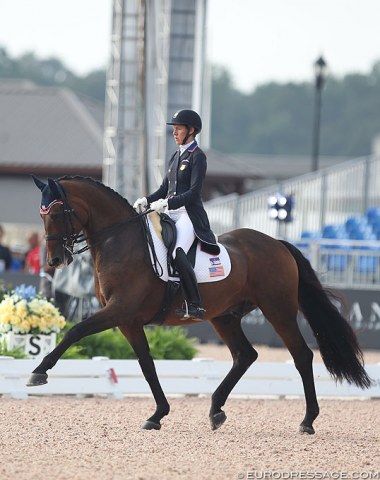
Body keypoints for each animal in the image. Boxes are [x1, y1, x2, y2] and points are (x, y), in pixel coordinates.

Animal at [29, 176, 372, 436]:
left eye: (56, 213)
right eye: (41, 214)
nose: (55, 261)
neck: (120, 242)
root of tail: (278, 243)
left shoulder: (119, 311)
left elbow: (75, 331)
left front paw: (39, 373)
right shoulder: (129, 321)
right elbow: (147, 365)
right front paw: (157, 414)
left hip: (279, 310)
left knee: (301, 355)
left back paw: (307, 421)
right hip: (225, 317)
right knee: (245, 356)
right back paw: (216, 410)